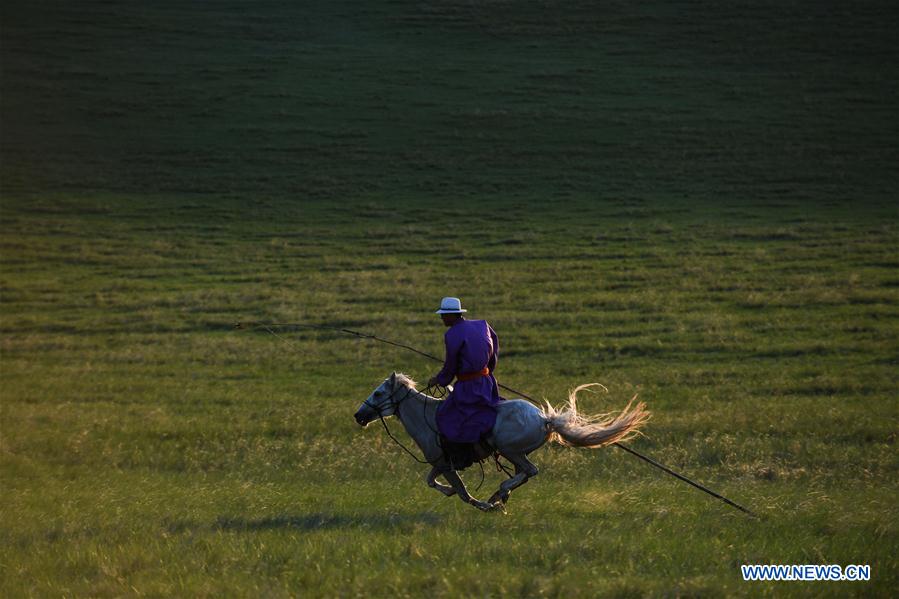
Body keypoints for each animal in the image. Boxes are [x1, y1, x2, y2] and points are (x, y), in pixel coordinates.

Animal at [353, 372, 650, 512]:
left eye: (378, 393)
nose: (358, 415)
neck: (428, 417)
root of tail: (545, 419)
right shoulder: (441, 464)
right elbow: (431, 481)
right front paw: (451, 493)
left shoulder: (447, 464)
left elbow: (462, 492)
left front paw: (485, 506)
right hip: (513, 454)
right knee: (524, 473)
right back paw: (502, 493)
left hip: (510, 450)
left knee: (529, 471)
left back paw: (499, 493)